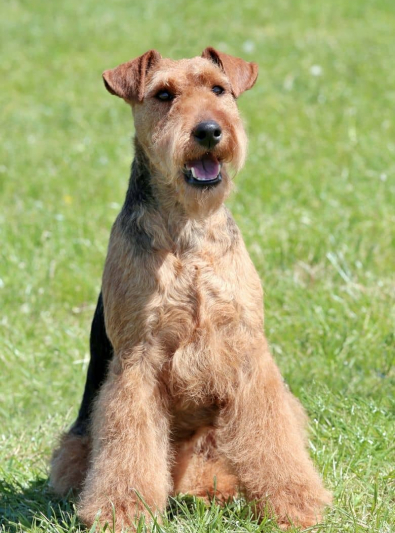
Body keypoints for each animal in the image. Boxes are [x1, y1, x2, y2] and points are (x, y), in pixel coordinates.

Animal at [51, 47, 332, 528]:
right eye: (164, 94)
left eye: (218, 89)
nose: (209, 131)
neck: (189, 230)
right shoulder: (138, 359)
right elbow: (129, 447)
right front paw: (123, 513)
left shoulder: (246, 347)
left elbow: (273, 442)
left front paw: (297, 504)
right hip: (80, 441)